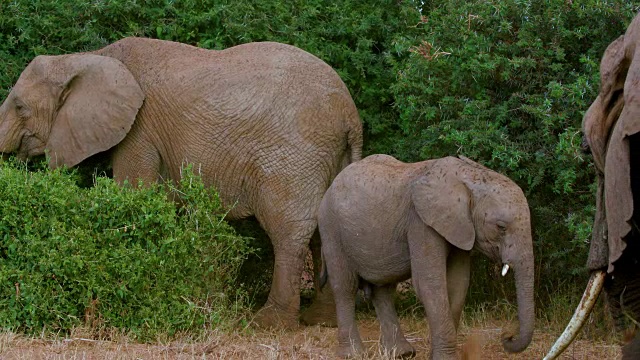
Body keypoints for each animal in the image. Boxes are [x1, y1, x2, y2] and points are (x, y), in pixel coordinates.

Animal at [0, 36, 362, 330]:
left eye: (19, 106)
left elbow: (134, 194)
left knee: (289, 230)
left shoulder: (139, 130)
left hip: (293, 157)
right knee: (323, 231)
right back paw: (323, 320)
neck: (89, 57)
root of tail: (351, 117)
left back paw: (269, 324)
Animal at [318, 155, 536, 360]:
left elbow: (457, 284)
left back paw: (401, 353)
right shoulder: (420, 222)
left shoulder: (458, 228)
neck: (468, 176)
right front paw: (444, 359)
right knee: (345, 286)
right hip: (330, 229)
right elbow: (429, 284)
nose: (507, 336)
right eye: (501, 227)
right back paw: (353, 354)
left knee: (383, 289)